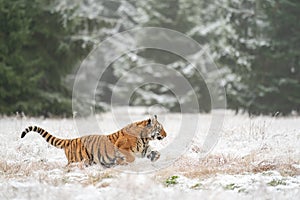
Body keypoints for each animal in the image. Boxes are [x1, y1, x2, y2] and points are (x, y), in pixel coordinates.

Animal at [20, 115, 166, 168]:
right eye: (160, 128)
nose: (166, 134)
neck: (145, 138)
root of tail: (71, 141)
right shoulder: (122, 148)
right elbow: (130, 157)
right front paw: (122, 162)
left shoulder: (143, 149)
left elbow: (154, 152)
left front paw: (156, 157)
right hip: (77, 159)